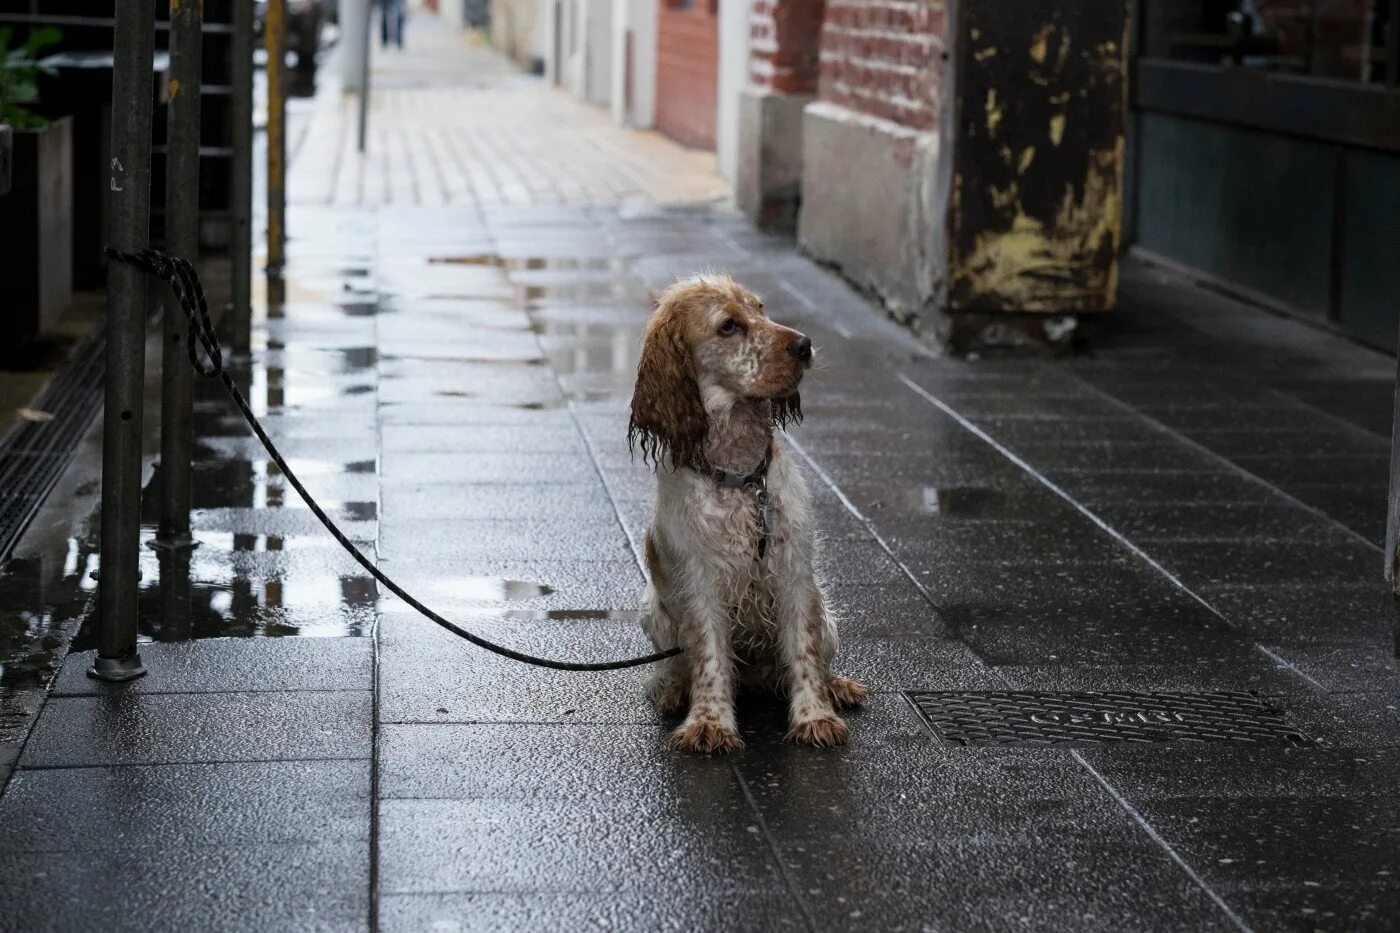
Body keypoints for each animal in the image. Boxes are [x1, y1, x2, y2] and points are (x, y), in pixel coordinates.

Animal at [632, 274, 862, 750]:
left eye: (760, 309)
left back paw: (837, 686)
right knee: (670, 668)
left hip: (825, 610)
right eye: (728, 326)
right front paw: (709, 723)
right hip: (653, 612)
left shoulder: (794, 572)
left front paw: (815, 717)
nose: (804, 345)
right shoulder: (700, 582)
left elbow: (805, 653)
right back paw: (671, 691)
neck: (742, 480)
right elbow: (708, 658)